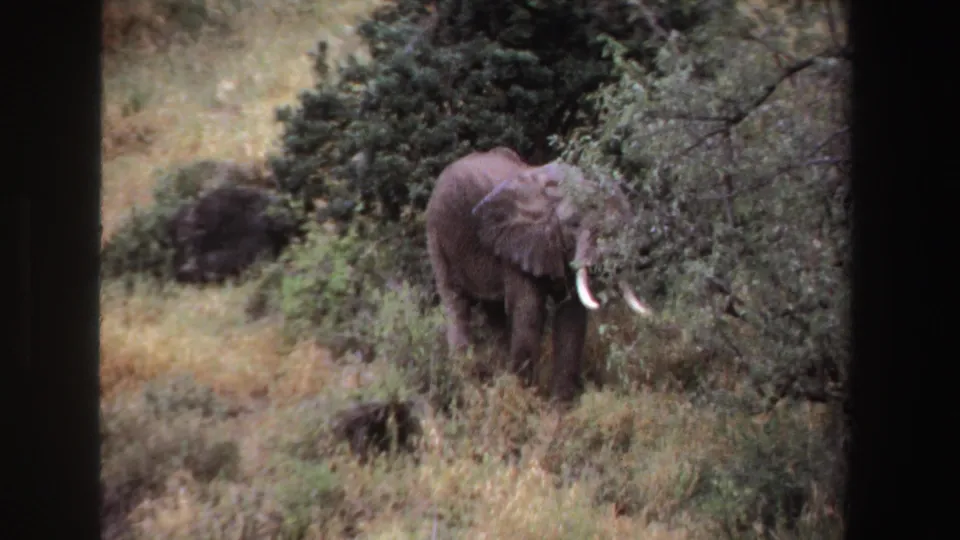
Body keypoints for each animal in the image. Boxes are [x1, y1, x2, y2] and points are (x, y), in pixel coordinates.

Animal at [425, 146, 652, 402]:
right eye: (574, 223)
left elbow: (571, 315)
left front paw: (559, 406)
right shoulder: (515, 245)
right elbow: (529, 311)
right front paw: (524, 399)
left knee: (495, 314)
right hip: (437, 236)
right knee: (456, 304)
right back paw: (468, 387)